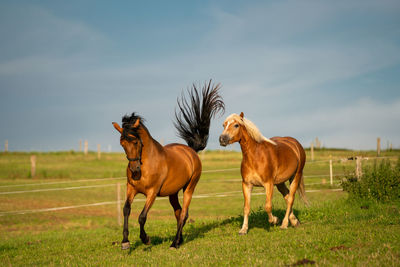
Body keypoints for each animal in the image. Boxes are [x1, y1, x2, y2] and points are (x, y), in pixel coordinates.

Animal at [113, 82, 225, 251]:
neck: (147, 164)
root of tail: (191, 151)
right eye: (122, 143)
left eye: (136, 142)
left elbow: (142, 217)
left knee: (184, 213)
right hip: (173, 193)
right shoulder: (131, 188)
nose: (134, 170)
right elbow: (126, 209)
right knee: (179, 213)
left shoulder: (152, 193)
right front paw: (125, 242)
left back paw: (174, 243)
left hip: (189, 188)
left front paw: (146, 239)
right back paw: (179, 240)